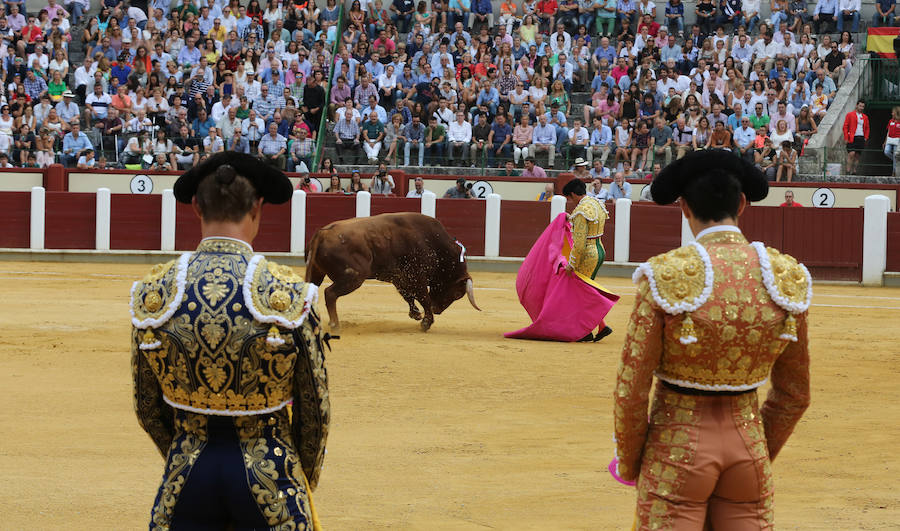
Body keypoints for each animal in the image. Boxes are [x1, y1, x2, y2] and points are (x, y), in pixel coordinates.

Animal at [304, 213, 486, 332]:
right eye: (457, 294)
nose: (437, 310)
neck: (434, 243)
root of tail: (323, 232)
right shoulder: (417, 276)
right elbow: (423, 297)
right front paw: (426, 322)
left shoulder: (400, 277)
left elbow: (408, 296)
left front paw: (416, 314)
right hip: (354, 276)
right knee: (330, 293)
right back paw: (335, 325)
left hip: (316, 274)